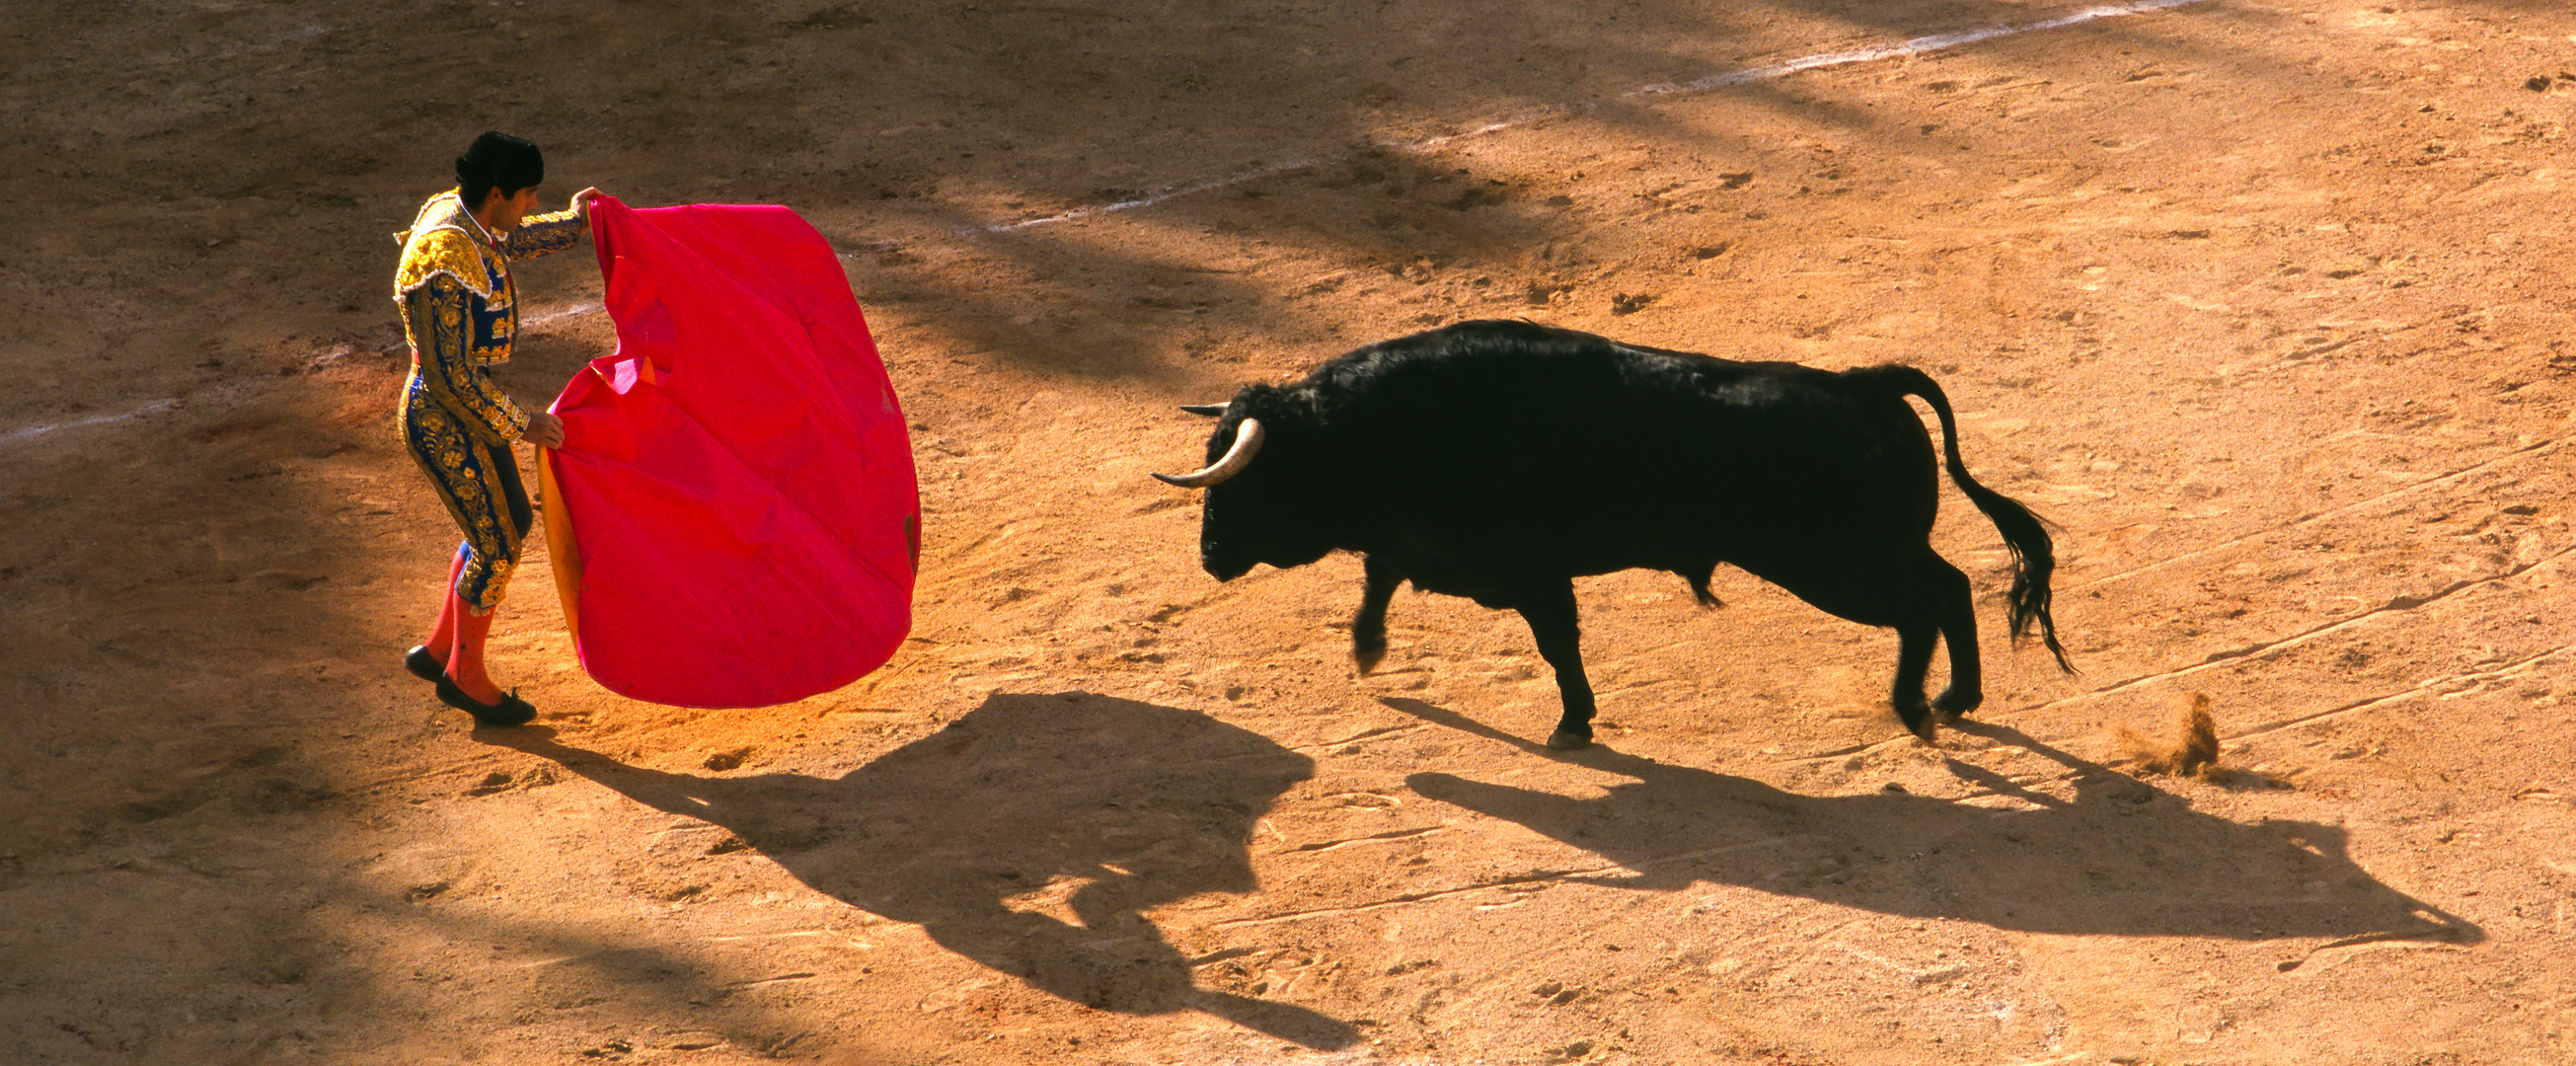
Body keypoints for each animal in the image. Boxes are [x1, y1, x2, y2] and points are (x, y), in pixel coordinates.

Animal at [1154, 323, 2071, 751]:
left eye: (1246, 482)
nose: (1208, 557)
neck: (1371, 430)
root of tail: (1868, 382)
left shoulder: (1530, 570)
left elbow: (1558, 642)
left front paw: (1573, 723)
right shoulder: (1432, 548)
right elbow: (1379, 576)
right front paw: (1368, 649)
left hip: (1837, 566)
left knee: (1922, 606)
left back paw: (1918, 706)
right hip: (1876, 552)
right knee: (1951, 586)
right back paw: (1955, 699)